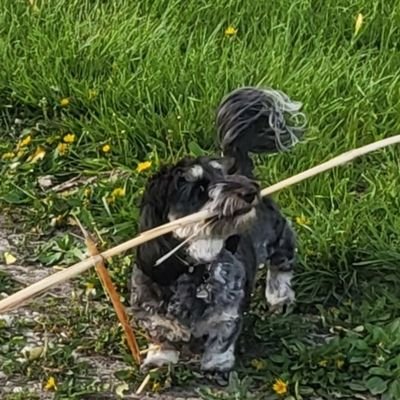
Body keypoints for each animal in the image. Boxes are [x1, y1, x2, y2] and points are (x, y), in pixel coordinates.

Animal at [130, 86, 304, 376]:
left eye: (223, 176)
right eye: (199, 188)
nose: (251, 190)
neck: (195, 271)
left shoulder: (228, 314)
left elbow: (222, 339)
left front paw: (216, 365)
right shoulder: (151, 311)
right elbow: (161, 335)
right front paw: (160, 357)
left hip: (277, 235)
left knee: (282, 263)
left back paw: (279, 296)